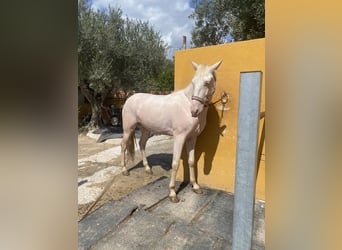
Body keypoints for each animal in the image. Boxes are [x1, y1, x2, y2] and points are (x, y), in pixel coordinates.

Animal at [120, 60, 222, 201]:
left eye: (207, 82)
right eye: (193, 82)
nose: (194, 110)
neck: (186, 105)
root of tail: (129, 98)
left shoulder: (192, 138)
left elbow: (191, 161)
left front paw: (195, 186)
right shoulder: (179, 137)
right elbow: (175, 163)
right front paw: (172, 192)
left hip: (146, 130)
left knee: (142, 144)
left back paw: (147, 169)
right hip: (128, 129)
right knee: (123, 145)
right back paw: (124, 170)